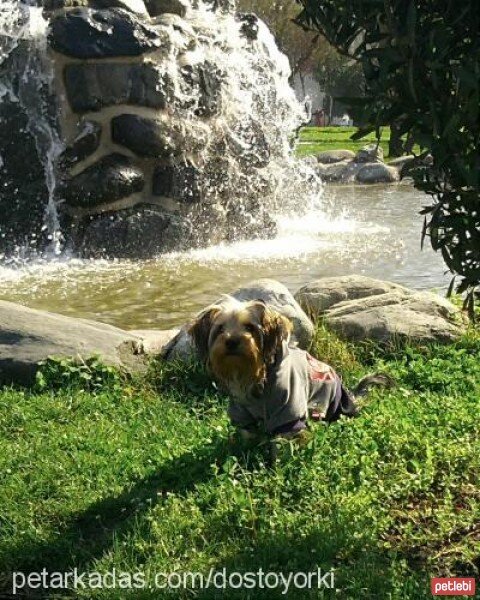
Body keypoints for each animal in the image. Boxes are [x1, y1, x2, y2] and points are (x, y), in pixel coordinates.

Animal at [186, 296, 392, 440]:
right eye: (220, 329)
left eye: (250, 327)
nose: (231, 341)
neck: (255, 375)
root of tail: (348, 396)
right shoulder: (241, 412)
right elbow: (246, 434)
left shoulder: (289, 407)